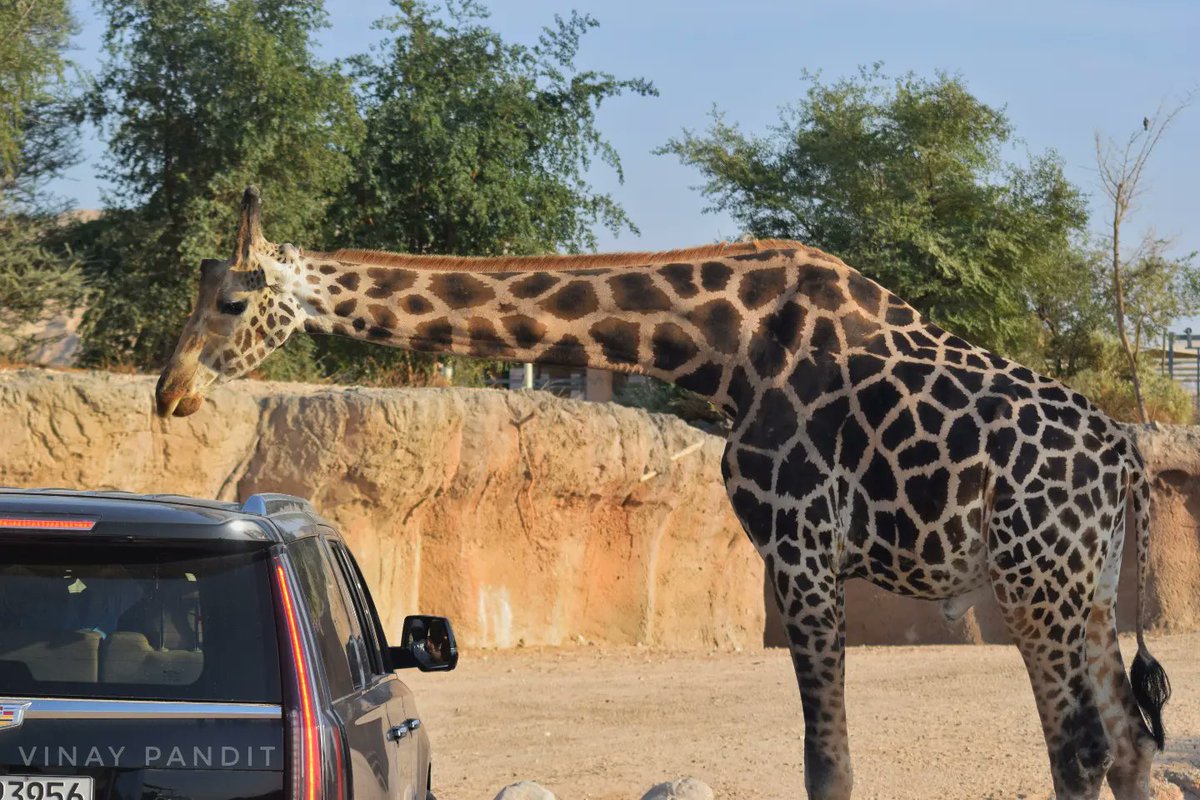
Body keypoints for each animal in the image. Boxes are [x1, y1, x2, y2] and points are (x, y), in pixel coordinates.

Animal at [157, 187, 1171, 799]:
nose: (172, 392)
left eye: (232, 303)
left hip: (1034, 581)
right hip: (1081, 590)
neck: (723, 347)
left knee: (1080, 748)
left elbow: (827, 764)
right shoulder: (803, 558)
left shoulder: (800, 546)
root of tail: (1124, 461)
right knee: (1125, 743)